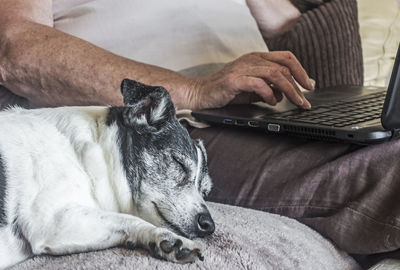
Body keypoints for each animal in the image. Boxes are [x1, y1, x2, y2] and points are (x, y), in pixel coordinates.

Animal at [0, 79, 214, 268]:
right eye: (178, 163)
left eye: (205, 192)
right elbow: (127, 218)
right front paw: (166, 237)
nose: (209, 225)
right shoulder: (52, 221)